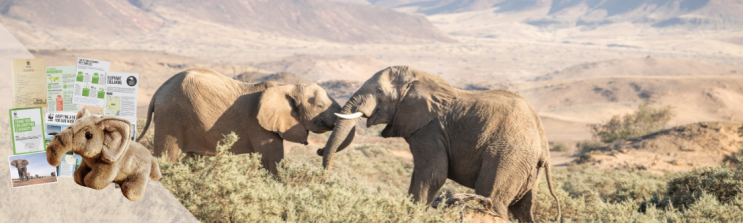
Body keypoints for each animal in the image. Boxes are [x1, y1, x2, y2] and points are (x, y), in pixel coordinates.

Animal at [136, 68, 352, 174]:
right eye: (320, 106)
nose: (319, 150)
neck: (289, 86)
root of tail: (158, 91)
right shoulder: (260, 126)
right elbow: (273, 161)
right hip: (171, 118)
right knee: (167, 156)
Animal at [318, 65, 564, 222]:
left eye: (379, 91)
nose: (319, 149)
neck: (419, 77)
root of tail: (544, 148)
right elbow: (420, 176)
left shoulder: (430, 130)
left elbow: (432, 175)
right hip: (527, 169)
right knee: (523, 209)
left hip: (508, 157)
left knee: (493, 197)